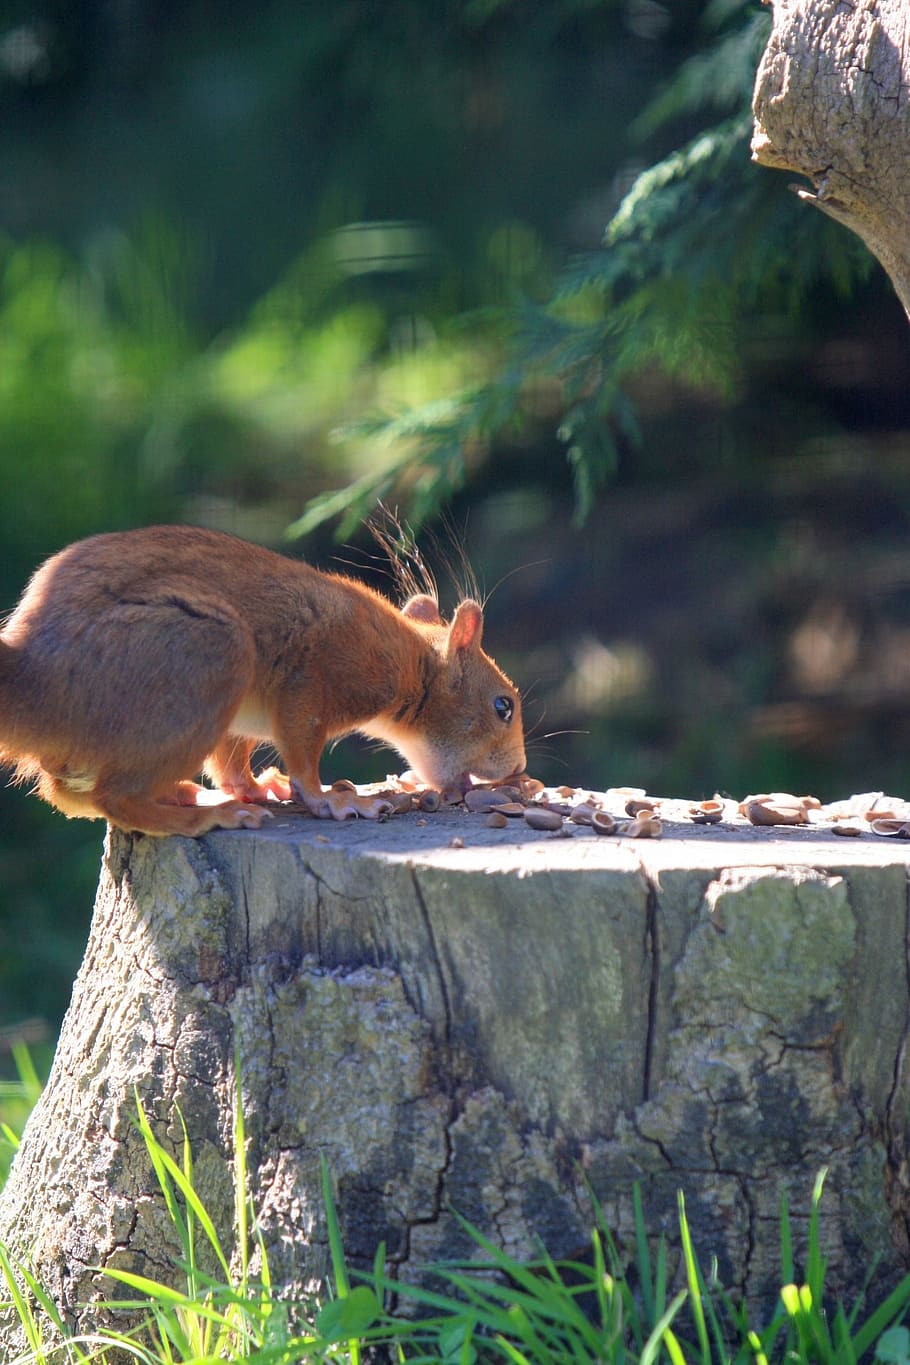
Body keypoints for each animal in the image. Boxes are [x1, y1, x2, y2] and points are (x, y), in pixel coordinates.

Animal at [0, 525, 526, 836]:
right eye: (503, 706)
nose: (520, 769)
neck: (410, 662)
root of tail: (36, 677)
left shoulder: (240, 724)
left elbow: (232, 764)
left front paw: (260, 787)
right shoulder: (315, 676)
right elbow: (303, 749)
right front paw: (329, 800)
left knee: (66, 793)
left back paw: (183, 793)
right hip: (209, 654)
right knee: (114, 798)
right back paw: (209, 815)